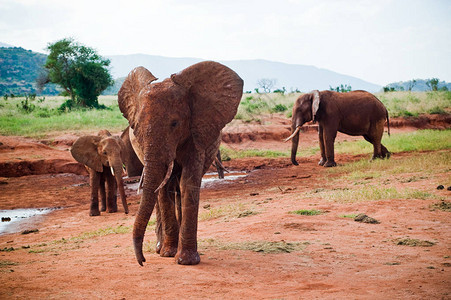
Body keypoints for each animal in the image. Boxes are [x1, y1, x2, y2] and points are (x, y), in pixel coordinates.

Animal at [116, 61, 244, 264]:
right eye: (137, 128)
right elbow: (162, 188)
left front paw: (187, 260)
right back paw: (160, 248)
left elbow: (188, 183)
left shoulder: (195, 135)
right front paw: (168, 253)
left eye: (175, 123)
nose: (142, 261)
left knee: (178, 188)